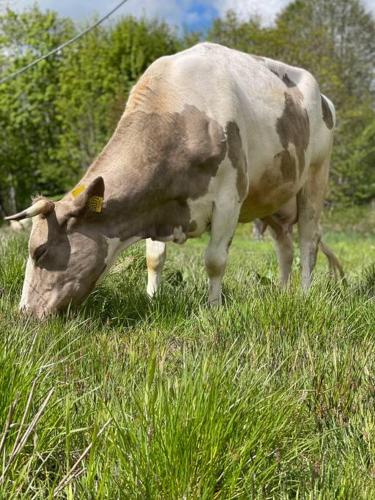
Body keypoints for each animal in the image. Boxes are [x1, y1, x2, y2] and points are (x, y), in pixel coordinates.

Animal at [4, 42, 342, 316]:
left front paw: (214, 309)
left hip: (315, 176)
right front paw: (153, 298)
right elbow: (154, 258)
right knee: (285, 246)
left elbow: (215, 260)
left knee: (308, 241)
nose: (25, 313)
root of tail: (324, 97)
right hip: (272, 198)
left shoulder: (229, 198)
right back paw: (283, 292)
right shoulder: (157, 200)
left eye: (40, 252)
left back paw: (303, 294)